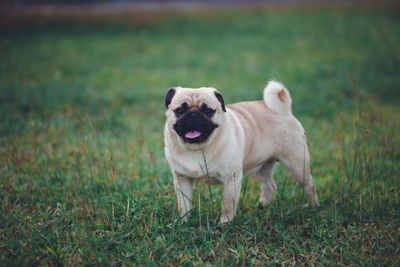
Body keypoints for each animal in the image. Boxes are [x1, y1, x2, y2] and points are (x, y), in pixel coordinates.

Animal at [162, 81, 318, 224]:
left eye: (208, 111)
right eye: (179, 111)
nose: (193, 115)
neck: (196, 147)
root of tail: (284, 110)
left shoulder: (231, 179)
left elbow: (227, 206)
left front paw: (225, 225)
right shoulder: (182, 179)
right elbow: (184, 204)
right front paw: (182, 222)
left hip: (297, 163)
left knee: (308, 185)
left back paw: (312, 207)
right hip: (262, 167)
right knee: (269, 186)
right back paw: (262, 206)